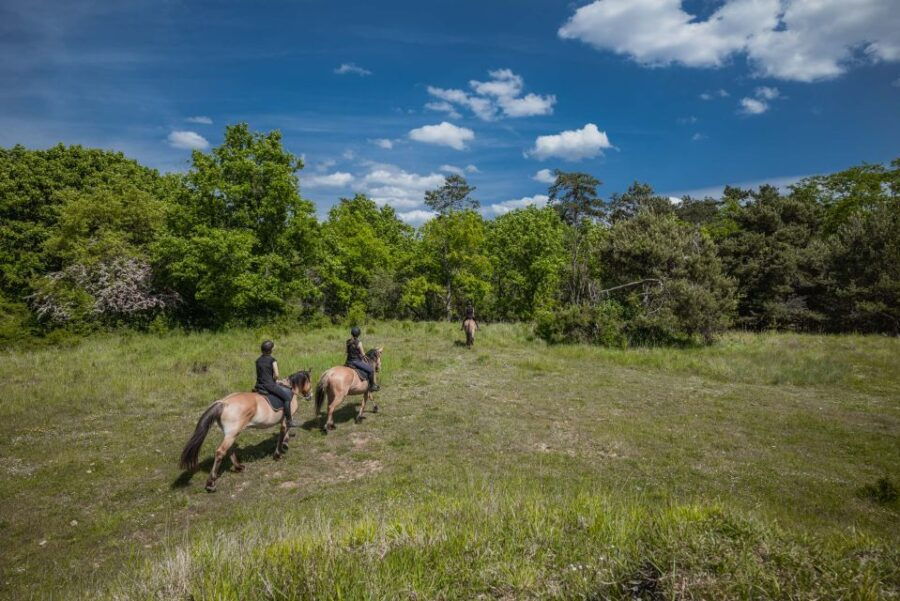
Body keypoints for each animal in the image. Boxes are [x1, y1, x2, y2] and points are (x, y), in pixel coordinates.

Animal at [179, 370, 312, 492]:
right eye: (309, 381)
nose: (310, 396)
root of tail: (224, 403)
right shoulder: (286, 420)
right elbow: (284, 433)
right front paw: (279, 453)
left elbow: (285, 433)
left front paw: (284, 445)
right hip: (232, 433)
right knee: (220, 452)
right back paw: (211, 483)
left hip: (231, 434)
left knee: (230, 449)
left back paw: (239, 467)